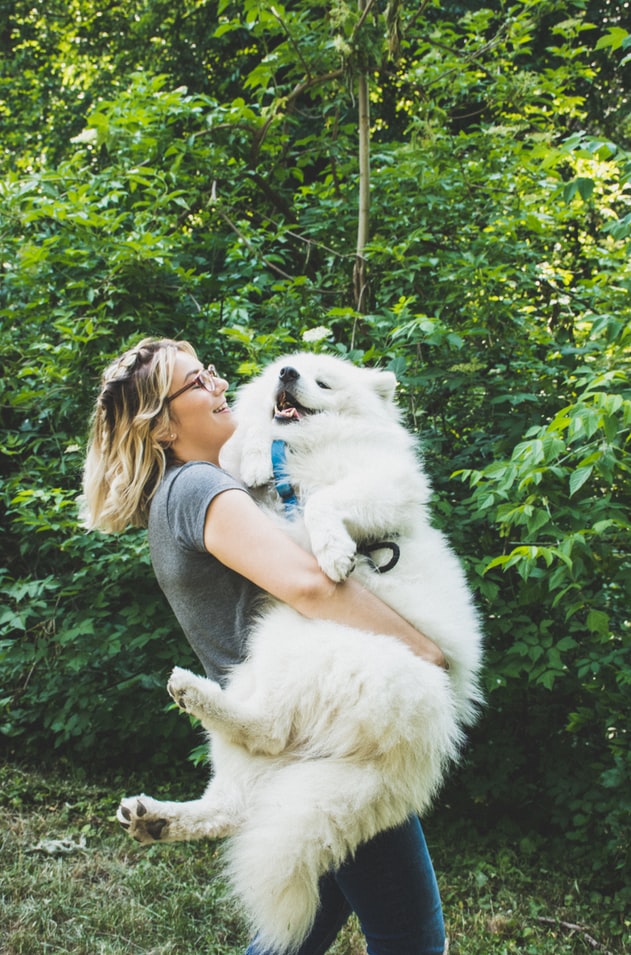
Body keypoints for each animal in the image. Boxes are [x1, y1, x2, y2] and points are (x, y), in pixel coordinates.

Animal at [118, 352, 484, 955]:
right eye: (285, 370)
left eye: (324, 381)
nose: (288, 373)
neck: (298, 451)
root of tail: (420, 741)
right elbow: (242, 445)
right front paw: (248, 456)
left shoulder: (376, 485)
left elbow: (327, 503)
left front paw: (335, 550)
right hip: (268, 668)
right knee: (235, 799)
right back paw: (159, 816)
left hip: (301, 645)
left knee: (264, 736)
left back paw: (191, 698)